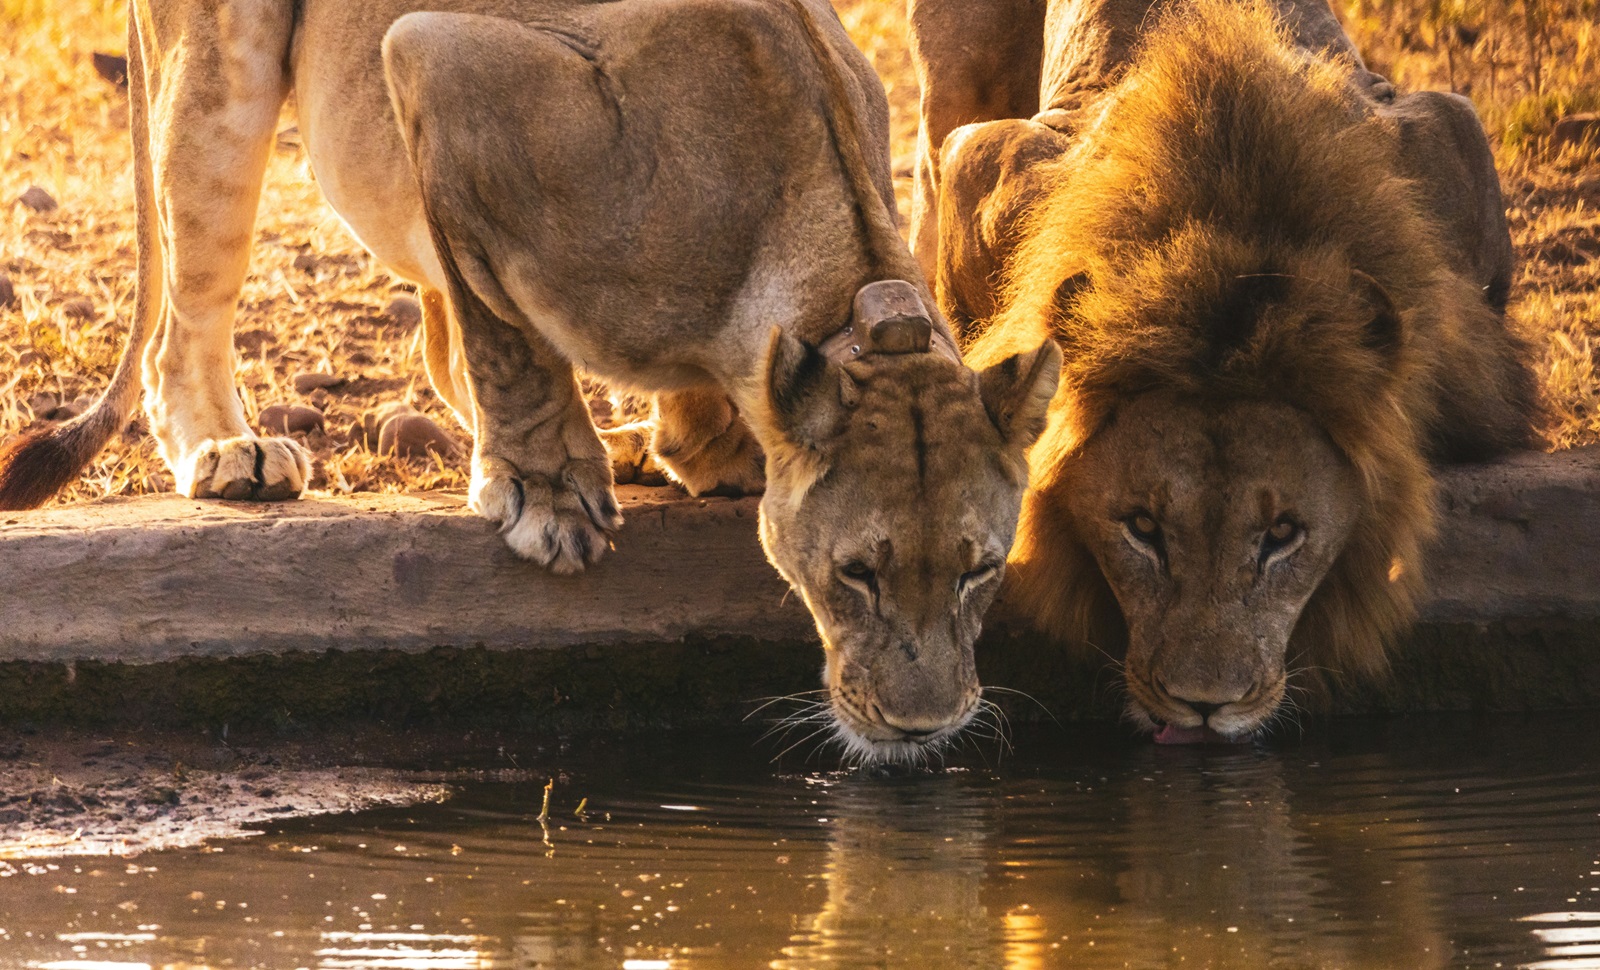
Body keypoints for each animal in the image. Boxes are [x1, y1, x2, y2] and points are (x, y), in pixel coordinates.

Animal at [0, 0, 1061, 762]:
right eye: (856, 574)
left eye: (979, 570)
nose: (925, 728)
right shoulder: (443, 67)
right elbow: (507, 337)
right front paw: (549, 496)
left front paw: (697, 449)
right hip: (226, 78)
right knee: (189, 320)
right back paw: (231, 449)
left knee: (432, 337)